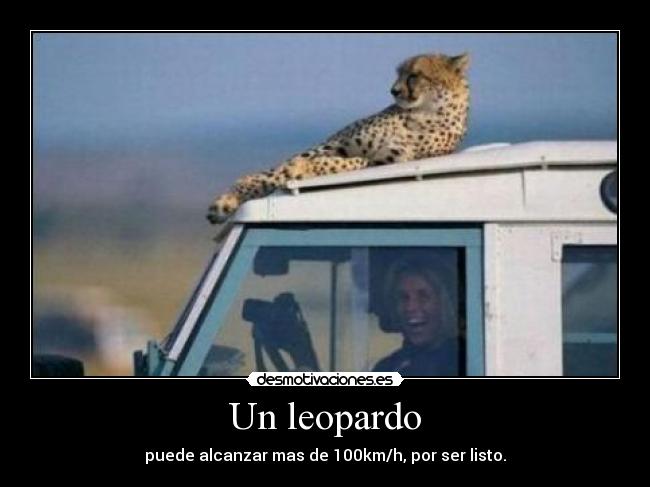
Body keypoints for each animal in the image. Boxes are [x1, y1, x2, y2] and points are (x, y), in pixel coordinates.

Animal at [207, 52, 470, 224]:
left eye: (415, 75)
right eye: (399, 73)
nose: (393, 91)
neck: (423, 113)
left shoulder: (384, 161)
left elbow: (355, 162)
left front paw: (303, 169)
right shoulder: (340, 144)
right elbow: (332, 160)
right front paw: (301, 168)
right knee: (261, 175)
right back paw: (225, 202)